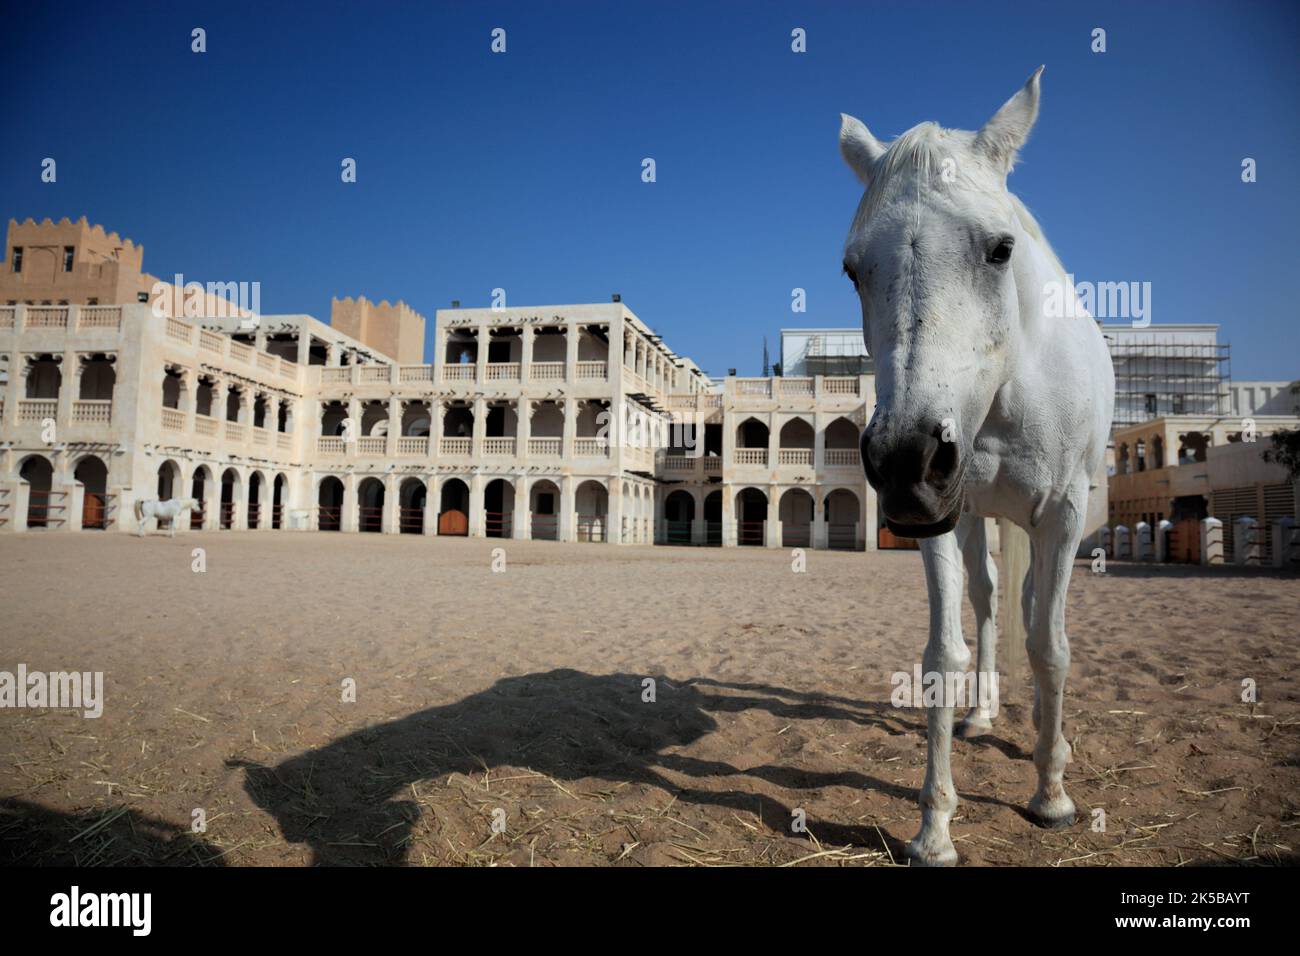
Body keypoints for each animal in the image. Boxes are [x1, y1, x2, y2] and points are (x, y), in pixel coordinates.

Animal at [842, 63, 1118, 863]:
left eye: (1000, 249)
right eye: (852, 269)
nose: (906, 459)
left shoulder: (1062, 516)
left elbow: (1051, 647)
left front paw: (1052, 794)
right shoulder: (939, 518)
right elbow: (945, 655)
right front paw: (933, 828)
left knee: (1027, 613)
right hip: (971, 517)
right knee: (993, 601)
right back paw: (985, 716)